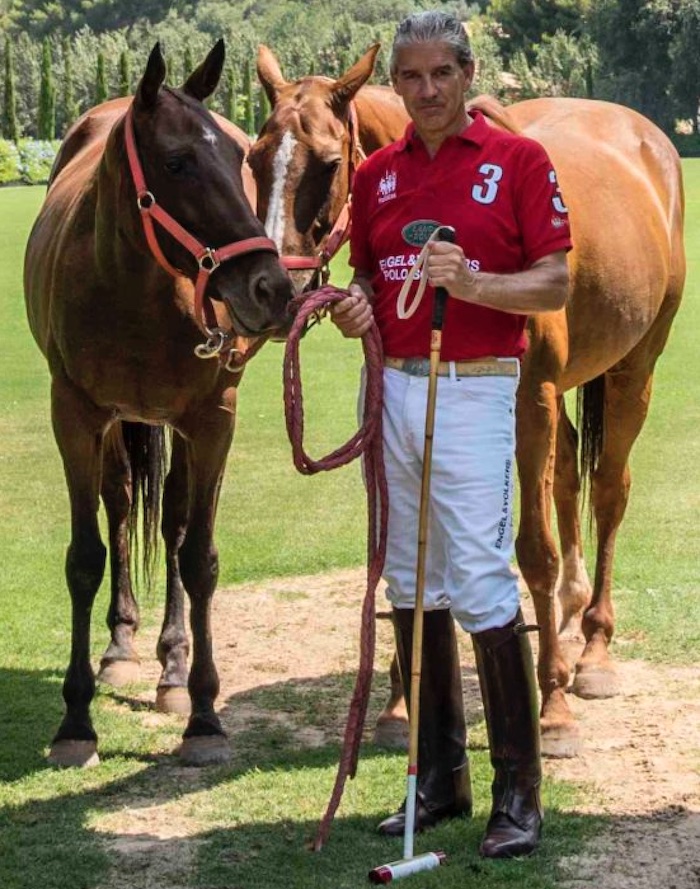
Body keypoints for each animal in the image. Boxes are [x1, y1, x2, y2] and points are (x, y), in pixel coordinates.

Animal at [23, 41, 292, 764]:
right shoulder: (75, 416)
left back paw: (171, 667)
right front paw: (75, 720)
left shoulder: (213, 420)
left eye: (240, 157)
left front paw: (202, 712)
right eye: (177, 162)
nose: (273, 288)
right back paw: (121, 647)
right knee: (120, 506)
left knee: (169, 524)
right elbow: (85, 556)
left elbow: (198, 556)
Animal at [250, 45, 684, 756]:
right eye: (257, 158)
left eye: (331, 163)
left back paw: (593, 650)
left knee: (609, 490)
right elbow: (401, 553)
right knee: (568, 478)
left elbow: (533, 549)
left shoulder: (531, 402)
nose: (272, 292)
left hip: (633, 368)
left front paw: (551, 707)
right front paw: (402, 700)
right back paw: (569, 616)